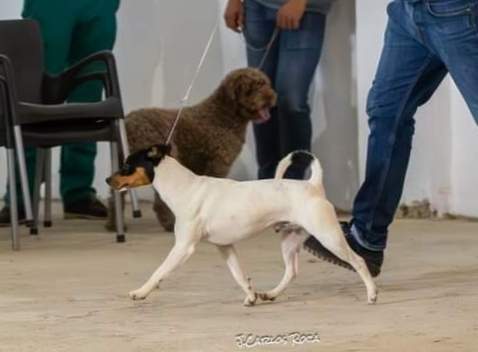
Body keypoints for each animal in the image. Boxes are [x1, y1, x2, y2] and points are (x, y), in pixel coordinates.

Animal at [106, 67, 274, 232]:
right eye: (253, 87)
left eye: (265, 83)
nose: (271, 98)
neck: (223, 115)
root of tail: (127, 123)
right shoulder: (218, 164)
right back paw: (169, 223)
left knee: (115, 193)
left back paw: (114, 224)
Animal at [106, 144, 380, 306]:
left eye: (127, 165)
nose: (108, 179)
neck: (183, 188)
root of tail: (313, 185)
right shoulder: (225, 246)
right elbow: (238, 274)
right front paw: (249, 295)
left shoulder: (183, 247)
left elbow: (159, 271)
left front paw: (140, 292)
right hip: (290, 240)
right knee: (291, 271)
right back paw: (271, 294)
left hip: (329, 236)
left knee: (358, 261)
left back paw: (372, 294)